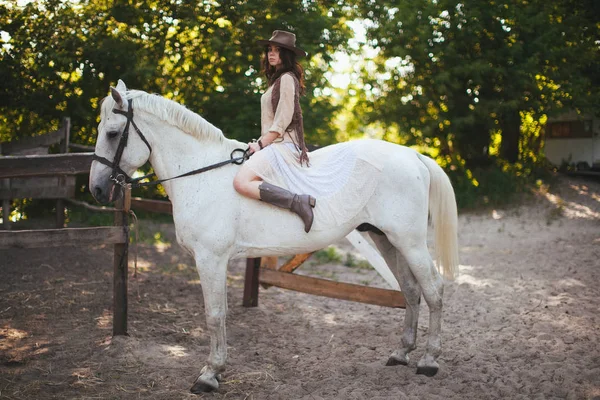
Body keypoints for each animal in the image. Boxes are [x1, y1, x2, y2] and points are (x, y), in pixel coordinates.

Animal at [89, 79, 460, 392]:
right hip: (386, 239)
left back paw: (429, 361)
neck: (202, 175)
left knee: (434, 291)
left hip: (409, 242)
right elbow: (220, 314)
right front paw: (216, 370)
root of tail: (412, 155)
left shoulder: (211, 259)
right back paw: (401, 353)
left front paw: (210, 375)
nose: (97, 189)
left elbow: (214, 315)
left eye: (112, 133)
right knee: (411, 291)